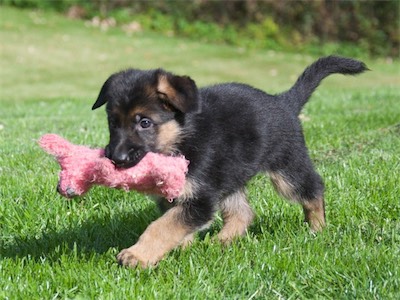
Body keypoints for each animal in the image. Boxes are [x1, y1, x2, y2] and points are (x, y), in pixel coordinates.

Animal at [92, 56, 368, 268]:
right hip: (229, 176)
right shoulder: (178, 196)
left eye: (144, 122)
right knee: (243, 213)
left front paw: (137, 255)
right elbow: (173, 223)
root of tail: (284, 101)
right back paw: (221, 242)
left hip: (286, 170)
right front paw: (182, 247)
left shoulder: (201, 198)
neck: (181, 138)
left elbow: (162, 226)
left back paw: (318, 228)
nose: (115, 158)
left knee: (313, 188)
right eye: (112, 123)